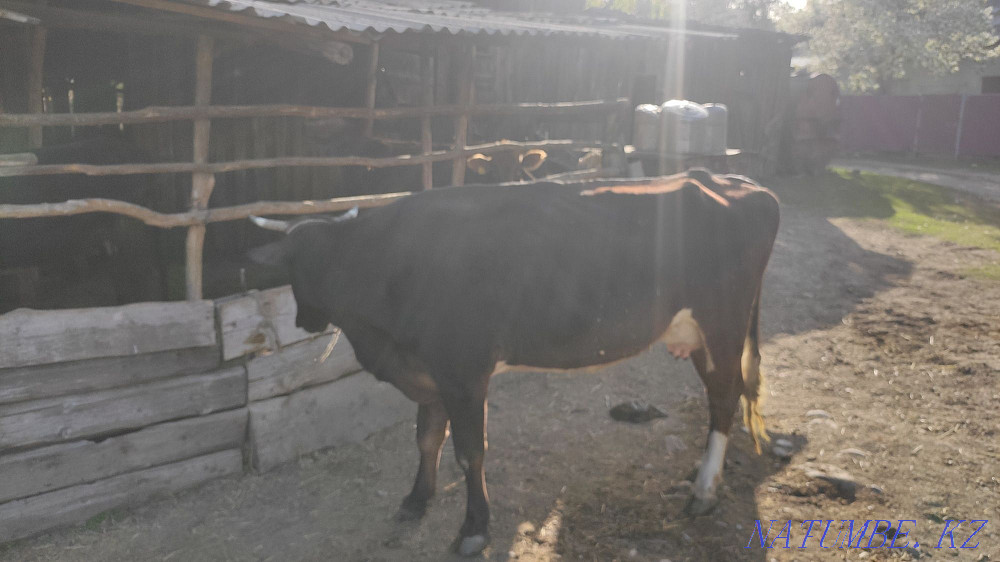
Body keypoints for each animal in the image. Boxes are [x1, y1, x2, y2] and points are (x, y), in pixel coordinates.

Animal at [247, 169, 780, 556]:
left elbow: (469, 452)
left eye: (298, 269)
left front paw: (473, 528)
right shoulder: (429, 371)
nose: (304, 320)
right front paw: (416, 500)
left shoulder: (464, 373)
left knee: (723, 399)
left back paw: (704, 491)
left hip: (722, 326)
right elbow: (426, 439)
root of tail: (737, 183)